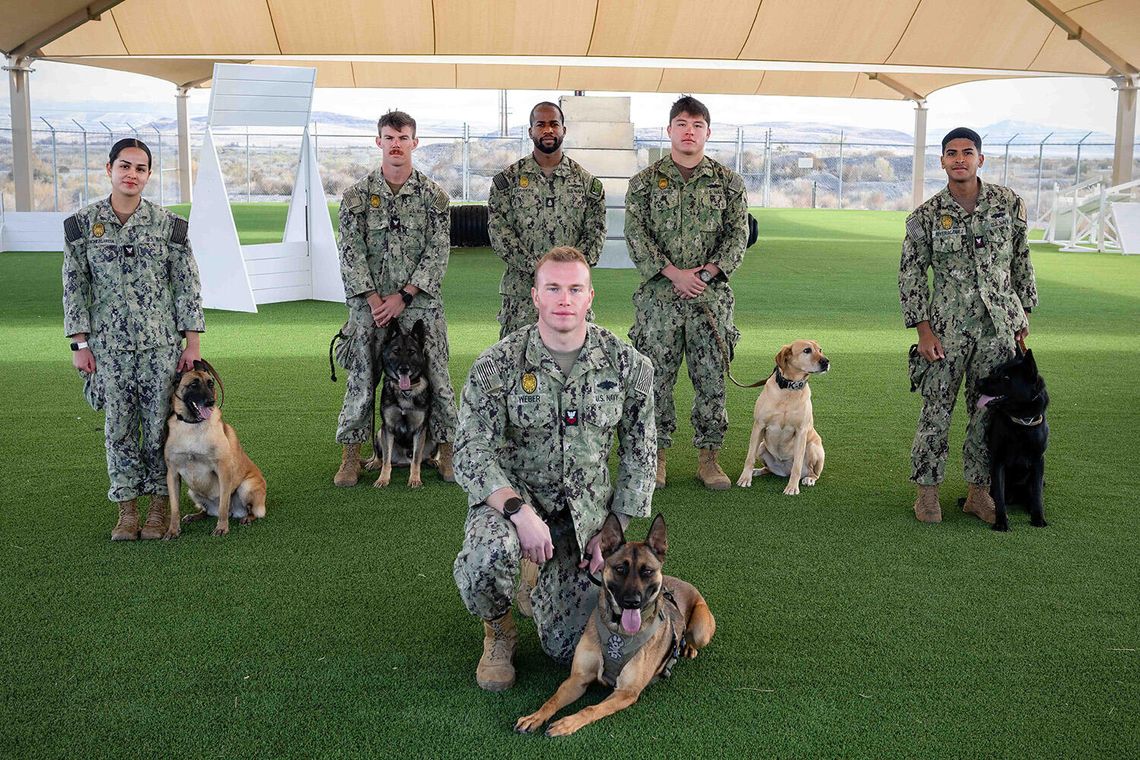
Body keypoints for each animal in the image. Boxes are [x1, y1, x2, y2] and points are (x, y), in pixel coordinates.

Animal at [163, 362, 266, 535]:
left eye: (210, 384)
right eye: (194, 385)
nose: (210, 401)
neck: (192, 425)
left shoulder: (223, 471)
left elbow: (224, 505)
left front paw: (222, 528)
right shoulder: (172, 474)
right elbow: (174, 508)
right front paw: (173, 530)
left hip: (246, 487)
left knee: (252, 511)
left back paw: (246, 518)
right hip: (192, 491)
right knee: (206, 511)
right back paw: (195, 515)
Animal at [367, 319, 433, 487]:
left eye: (411, 352)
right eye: (396, 351)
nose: (404, 369)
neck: (405, 392)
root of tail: (403, 461)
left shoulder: (419, 430)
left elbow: (416, 459)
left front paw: (415, 479)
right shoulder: (388, 428)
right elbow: (386, 460)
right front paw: (383, 479)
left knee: (421, 458)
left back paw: (434, 461)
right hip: (379, 433)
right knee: (381, 456)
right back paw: (374, 463)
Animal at [515, 515, 711, 738]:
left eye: (647, 571)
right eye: (620, 569)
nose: (632, 602)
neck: (618, 631)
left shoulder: (626, 692)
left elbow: (590, 709)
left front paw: (566, 723)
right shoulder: (578, 678)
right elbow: (552, 700)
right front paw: (534, 716)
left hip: (701, 629)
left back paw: (688, 647)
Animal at [738, 341, 829, 496]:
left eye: (820, 350)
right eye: (807, 350)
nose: (826, 362)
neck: (788, 389)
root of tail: (784, 472)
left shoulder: (801, 431)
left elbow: (797, 466)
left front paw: (792, 487)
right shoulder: (759, 426)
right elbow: (749, 457)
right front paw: (745, 478)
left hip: (813, 447)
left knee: (813, 473)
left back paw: (809, 479)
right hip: (762, 446)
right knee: (768, 468)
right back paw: (757, 471)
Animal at [980, 348, 1048, 533]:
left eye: (1006, 378)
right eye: (995, 371)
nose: (978, 382)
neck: (1021, 422)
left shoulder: (1038, 460)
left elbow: (1037, 494)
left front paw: (1038, 518)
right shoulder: (998, 461)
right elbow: (999, 497)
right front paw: (1001, 522)